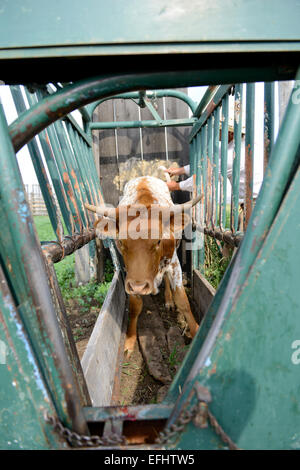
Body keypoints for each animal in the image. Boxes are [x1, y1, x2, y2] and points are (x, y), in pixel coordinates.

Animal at [84, 176, 202, 356]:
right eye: (121, 242)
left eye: (159, 240)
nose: (140, 287)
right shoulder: (130, 276)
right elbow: (134, 306)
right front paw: (130, 340)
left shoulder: (174, 264)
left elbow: (183, 301)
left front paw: (195, 330)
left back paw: (168, 300)